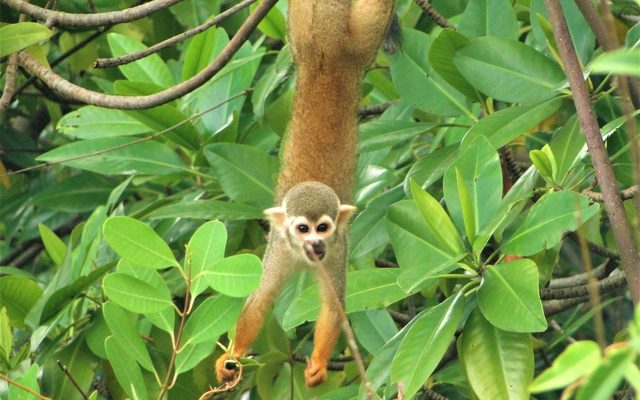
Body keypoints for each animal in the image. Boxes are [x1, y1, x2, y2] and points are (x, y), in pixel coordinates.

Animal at [215, 0, 394, 388]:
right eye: (302, 229)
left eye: (323, 228)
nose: (315, 244)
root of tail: (329, 43)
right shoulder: (279, 247)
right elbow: (261, 298)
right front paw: (233, 355)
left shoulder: (339, 247)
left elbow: (334, 304)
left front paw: (320, 364)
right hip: (302, 33)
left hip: (357, 47)